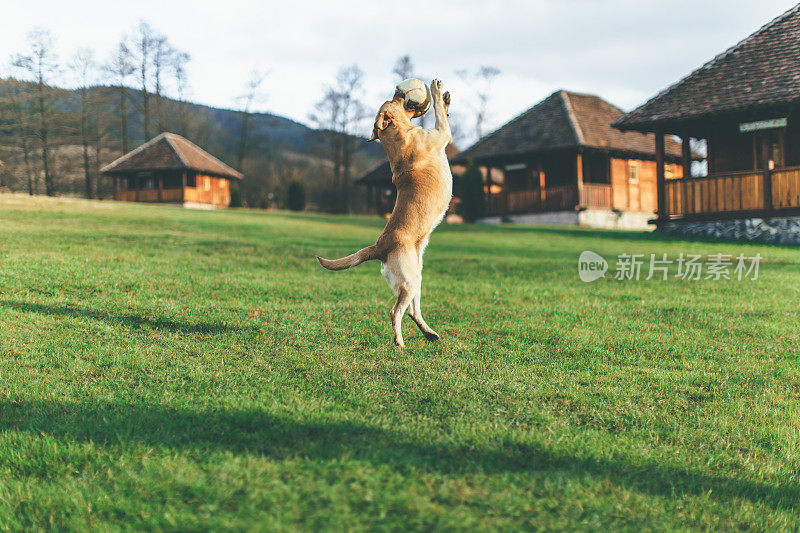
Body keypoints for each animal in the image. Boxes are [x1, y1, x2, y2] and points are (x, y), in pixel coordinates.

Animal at [318, 78, 454, 344]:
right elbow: (439, 116)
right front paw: (436, 90)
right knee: (395, 312)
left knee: (412, 311)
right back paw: (399, 342)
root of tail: (379, 247)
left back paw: (428, 333)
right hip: (410, 281)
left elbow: (442, 112)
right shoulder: (443, 134)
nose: (397, 91)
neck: (397, 135)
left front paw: (445, 99)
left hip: (416, 277)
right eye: (393, 99)